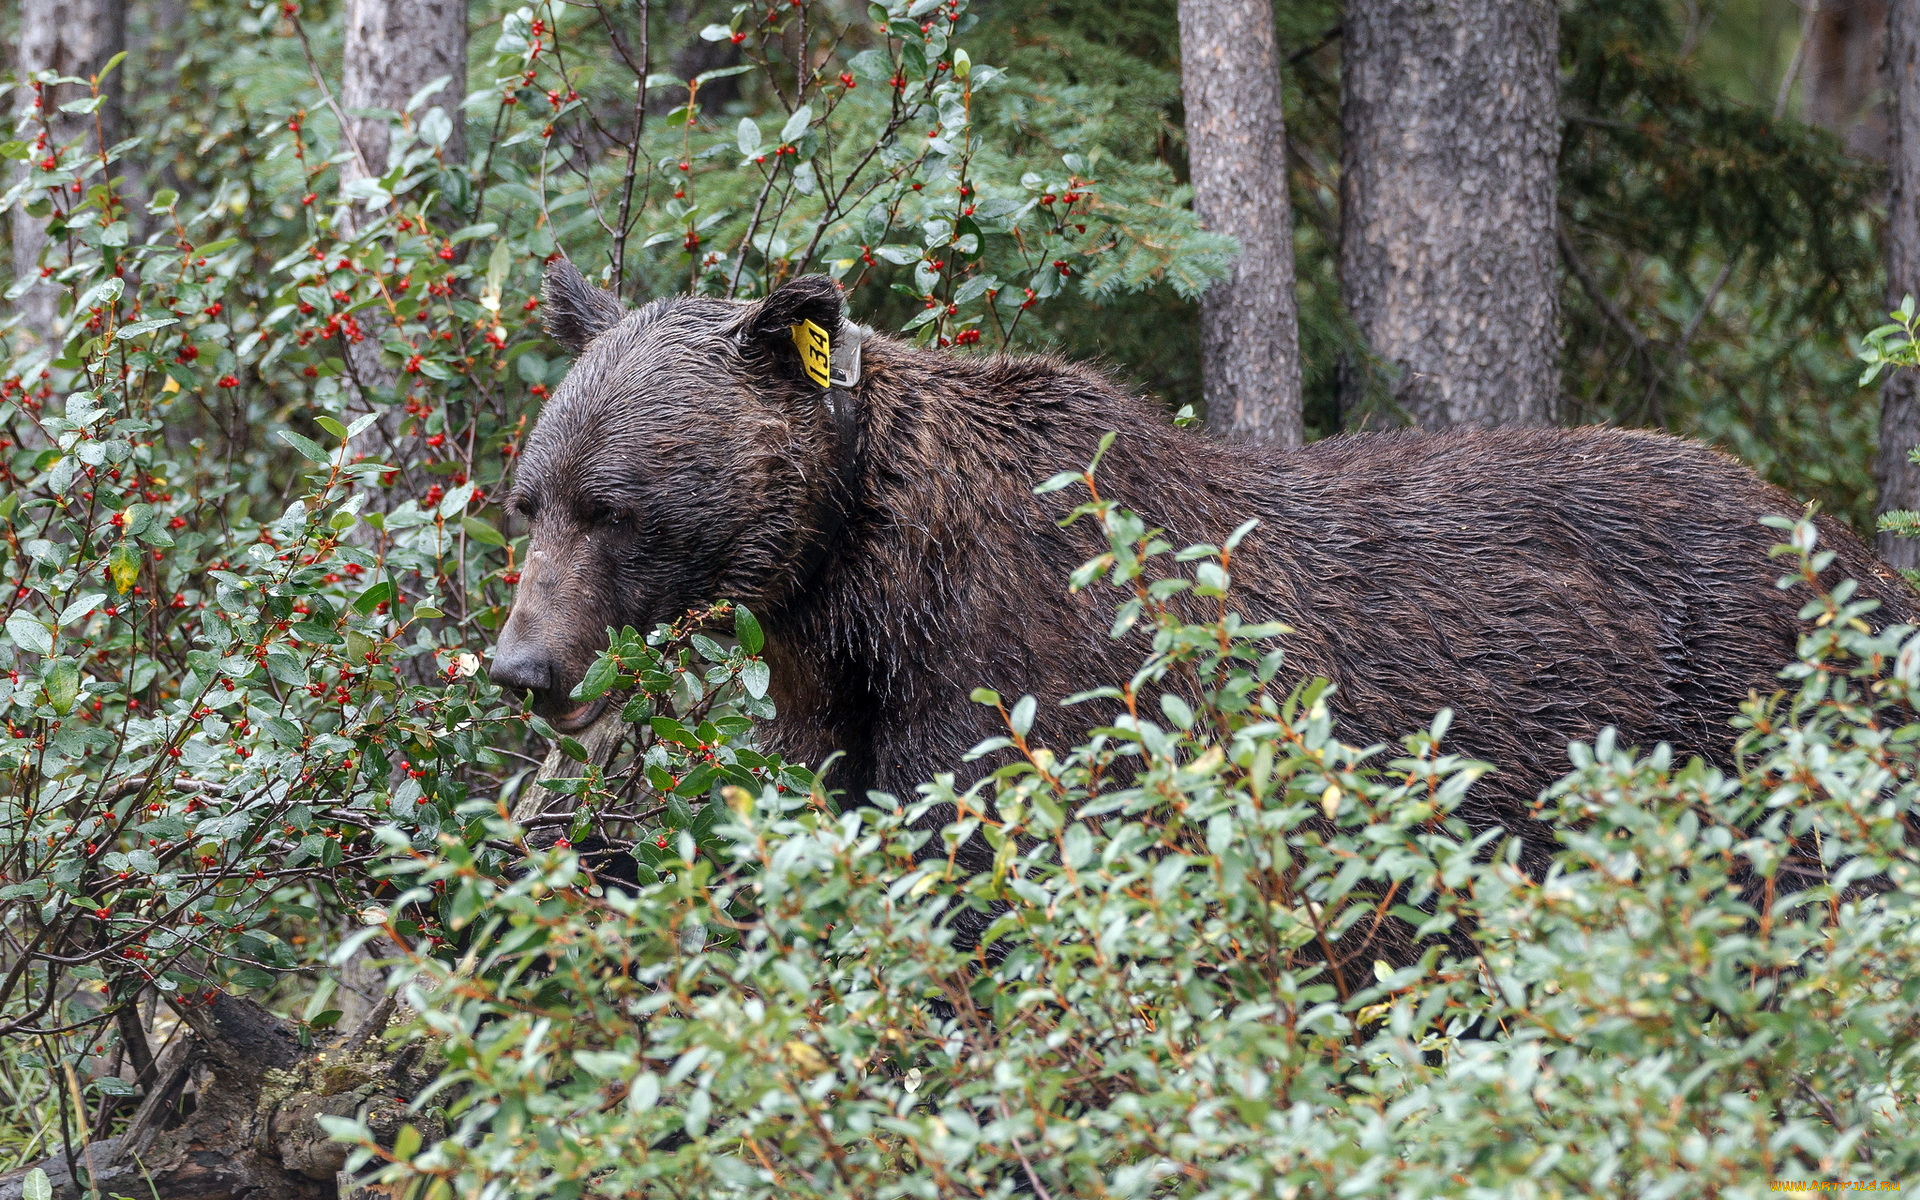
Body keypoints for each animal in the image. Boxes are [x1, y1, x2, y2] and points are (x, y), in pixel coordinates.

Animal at [491, 260, 1919, 883]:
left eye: (612, 506)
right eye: (531, 499)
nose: (521, 665)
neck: (862, 581)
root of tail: (1850, 549)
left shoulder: (1026, 677)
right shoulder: (840, 695)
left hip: (1747, 713)